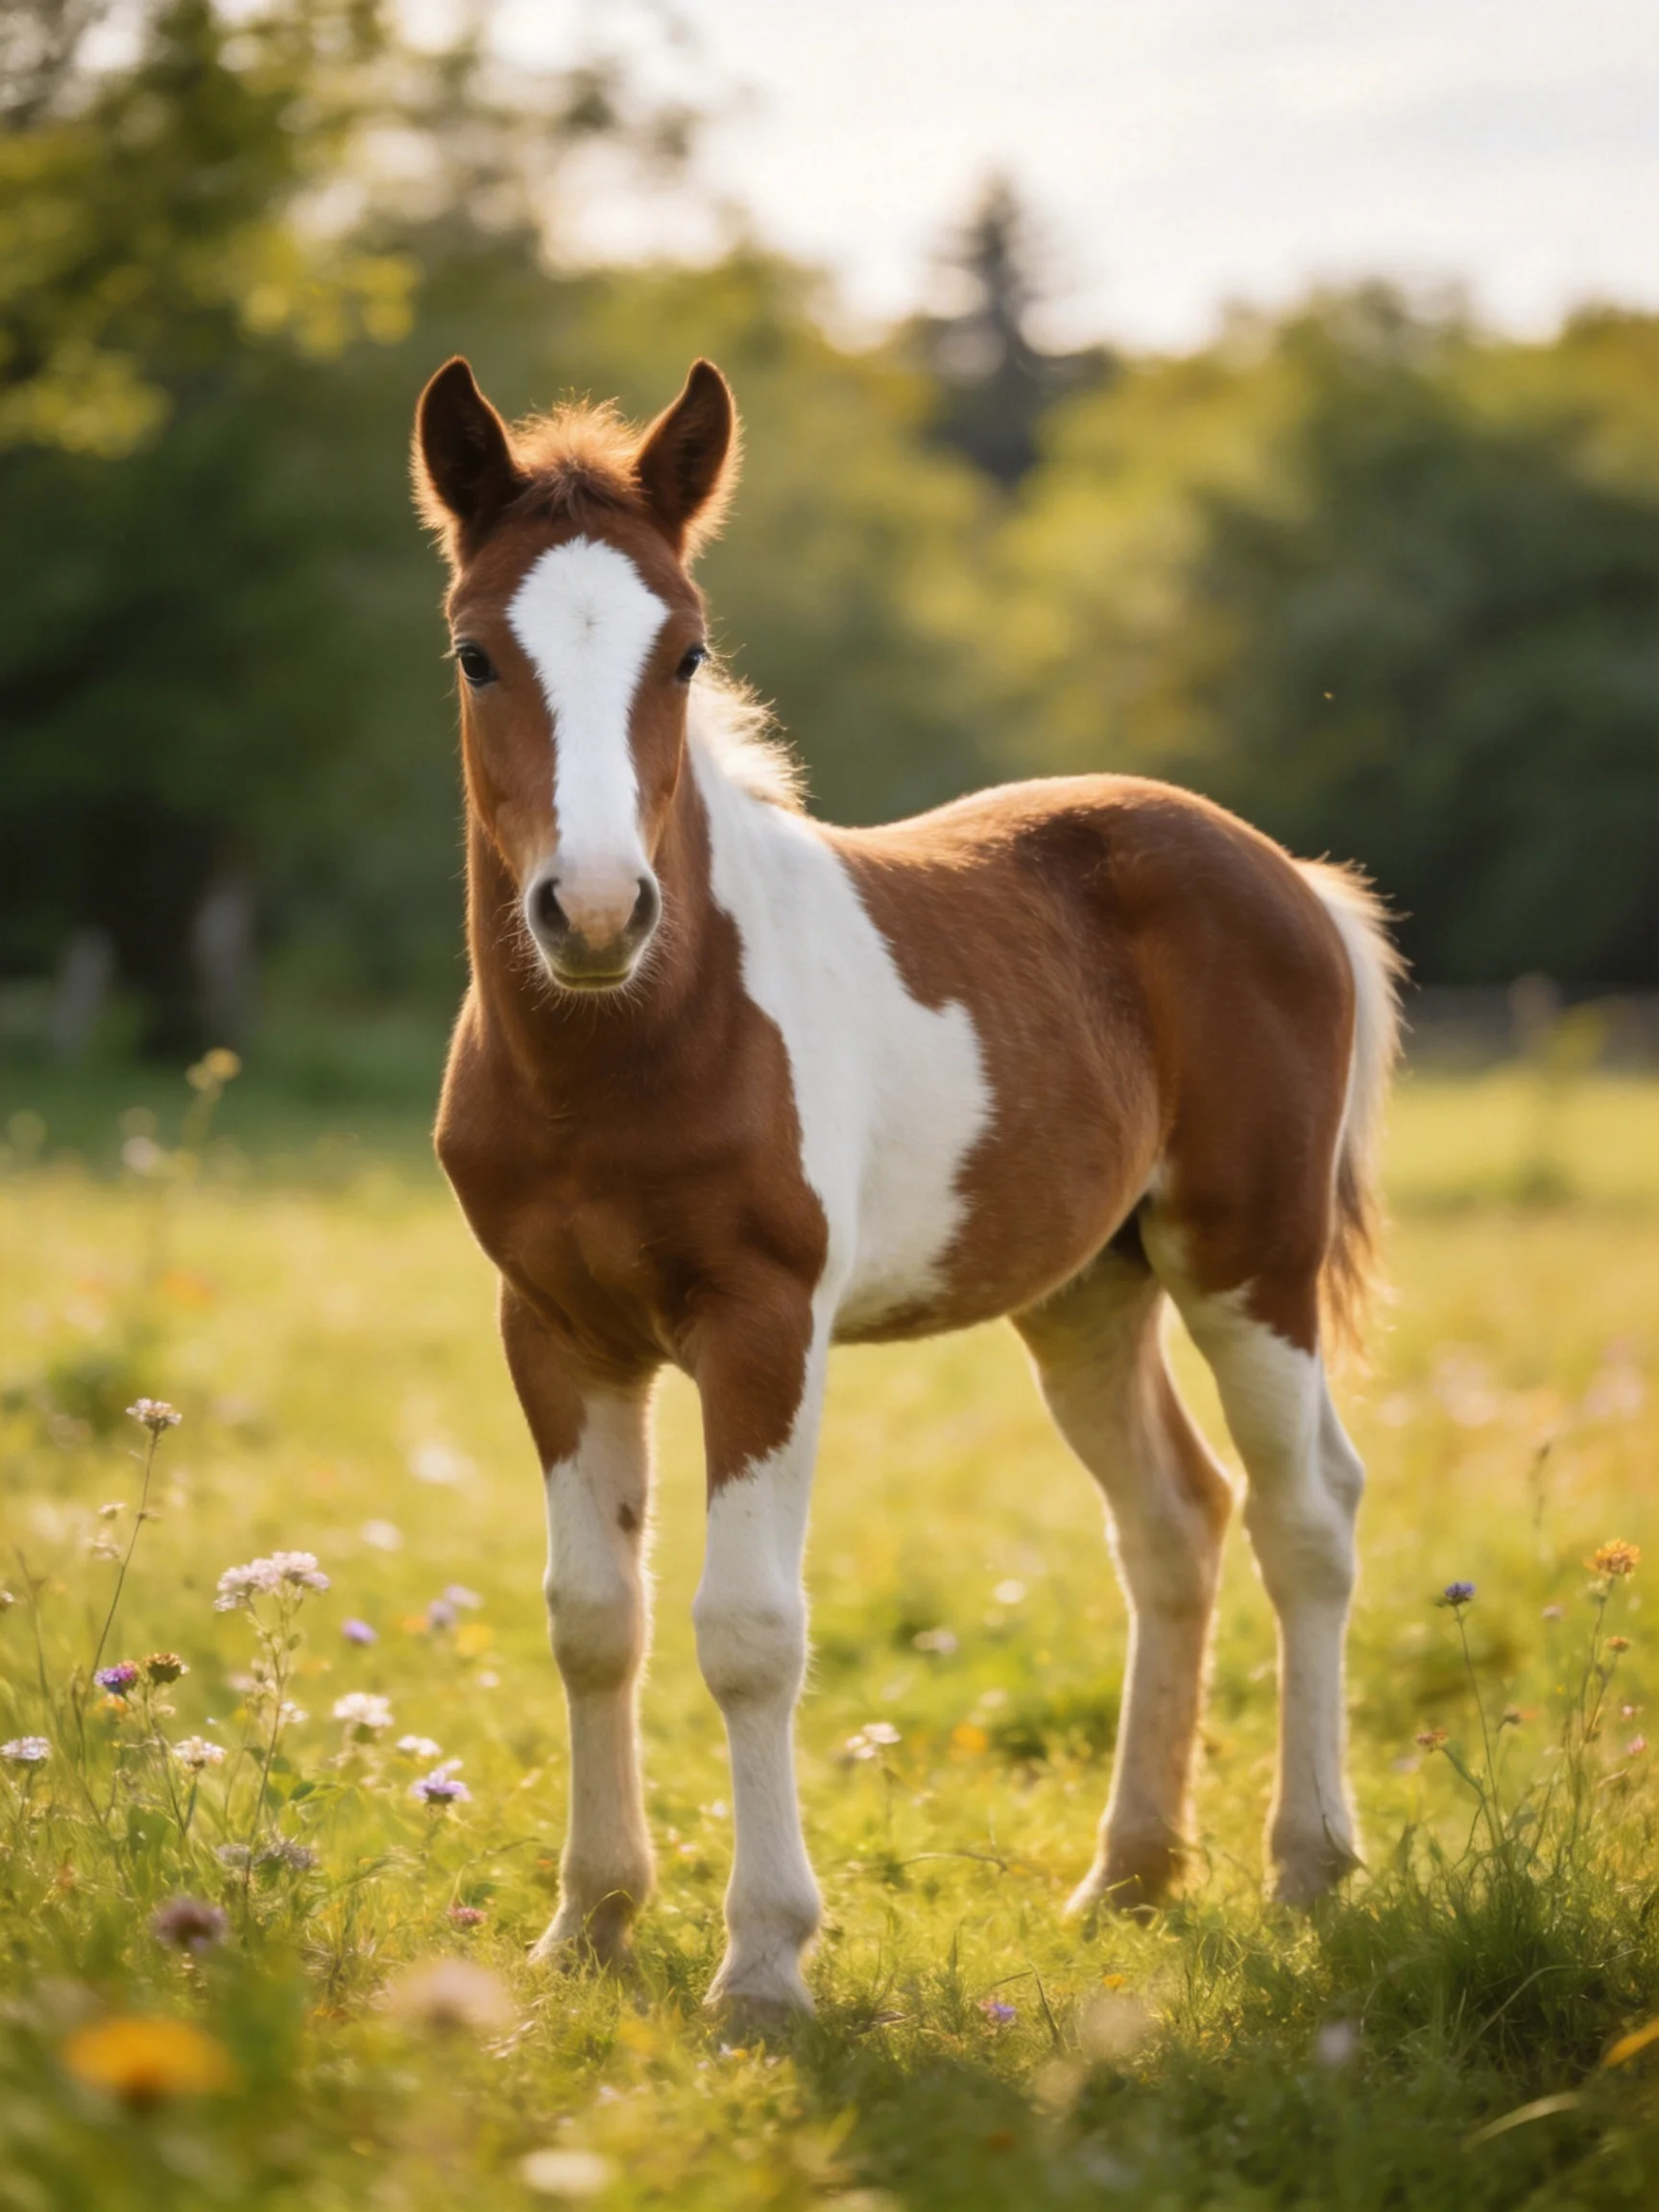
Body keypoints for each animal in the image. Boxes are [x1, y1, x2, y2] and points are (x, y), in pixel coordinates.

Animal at [412, 353, 1403, 2020]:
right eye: (480, 655)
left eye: (685, 650)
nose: (597, 912)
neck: (638, 1042)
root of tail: (1291, 878)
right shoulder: (550, 1329)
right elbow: (593, 1619)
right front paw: (590, 1925)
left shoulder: (765, 1327)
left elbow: (748, 1631)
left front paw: (762, 1966)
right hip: (1087, 1293)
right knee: (1175, 1520)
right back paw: (1130, 1877)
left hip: (1244, 1262)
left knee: (1304, 1512)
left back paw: (1310, 1868)